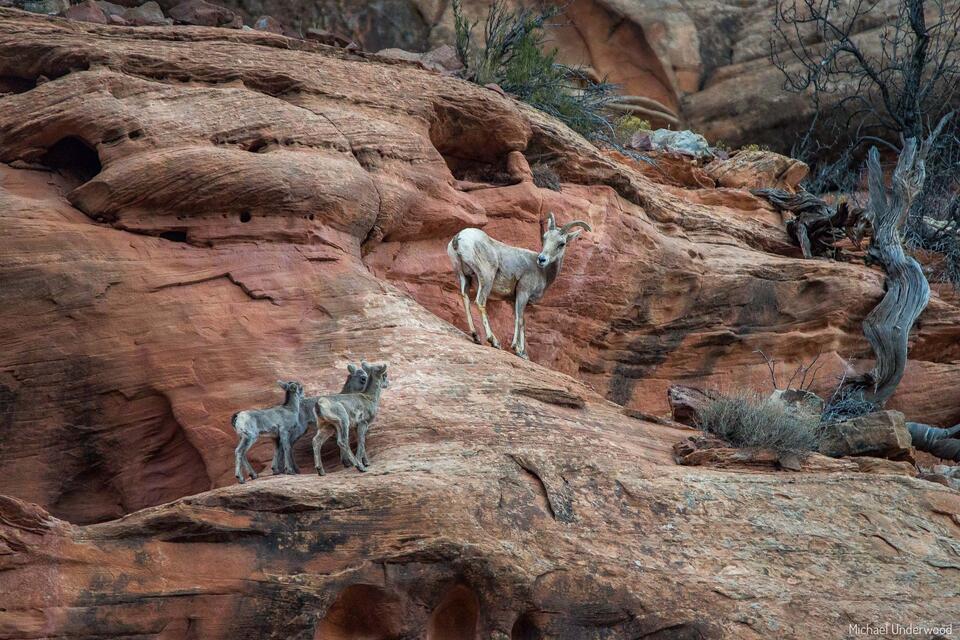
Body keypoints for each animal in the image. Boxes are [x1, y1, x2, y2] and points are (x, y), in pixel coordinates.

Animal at [447, 213, 591, 359]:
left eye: (561, 243)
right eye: (544, 238)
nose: (542, 259)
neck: (543, 272)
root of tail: (458, 238)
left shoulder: (514, 299)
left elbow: (520, 320)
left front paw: (523, 353)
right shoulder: (523, 293)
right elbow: (520, 320)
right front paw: (517, 350)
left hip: (463, 277)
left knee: (465, 299)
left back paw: (475, 336)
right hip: (486, 277)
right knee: (480, 302)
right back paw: (494, 342)